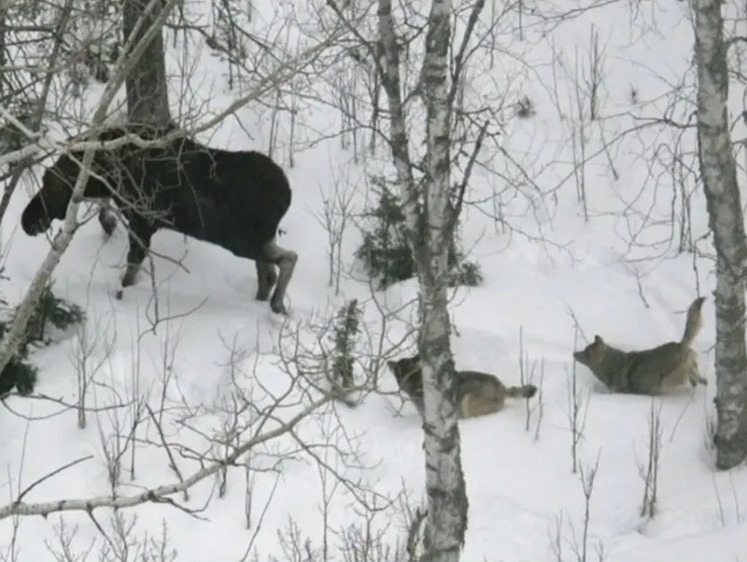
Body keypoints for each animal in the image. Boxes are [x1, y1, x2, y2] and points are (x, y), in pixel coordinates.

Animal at [23, 124, 298, 312]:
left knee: (288, 258)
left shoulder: (142, 223)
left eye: (53, 185)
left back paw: (276, 304)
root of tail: (287, 195)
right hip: (256, 238)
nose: (27, 221)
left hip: (240, 240)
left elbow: (131, 271)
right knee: (268, 273)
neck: (107, 174)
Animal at [572, 296, 708, 392]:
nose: (573, 353)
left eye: (586, 353)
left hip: (671, 379)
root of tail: (680, 345)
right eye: (585, 350)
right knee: (701, 379)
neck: (612, 365)